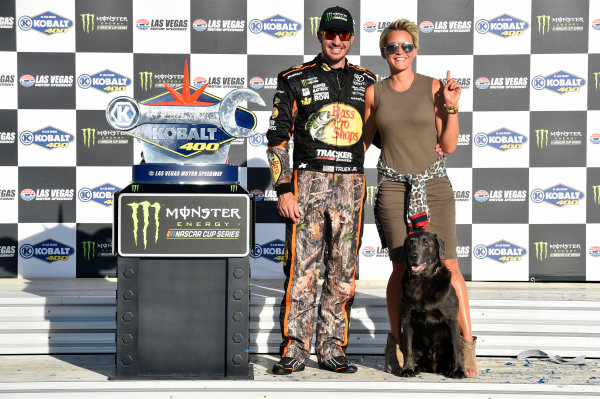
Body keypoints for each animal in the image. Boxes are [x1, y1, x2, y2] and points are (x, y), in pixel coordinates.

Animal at [400, 231, 466, 378]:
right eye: (410, 243)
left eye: (426, 244)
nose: (413, 255)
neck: (422, 280)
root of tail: (433, 367)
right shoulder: (407, 319)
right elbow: (407, 348)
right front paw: (407, 369)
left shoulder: (451, 319)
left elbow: (457, 348)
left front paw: (459, 371)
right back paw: (415, 368)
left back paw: (449, 369)